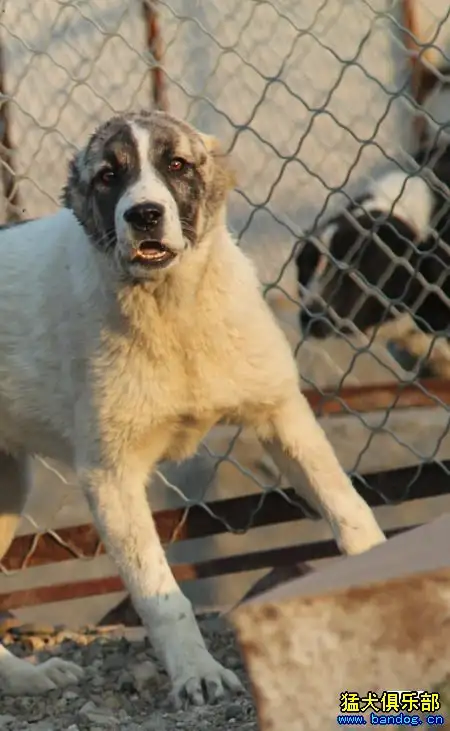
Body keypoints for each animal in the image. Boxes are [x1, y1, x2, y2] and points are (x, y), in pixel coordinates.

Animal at [0, 111, 384, 708]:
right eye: (109, 175)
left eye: (176, 164)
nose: (144, 215)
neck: (171, 310)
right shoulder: (110, 477)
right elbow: (161, 595)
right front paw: (196, 673)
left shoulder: (283, 416)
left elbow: (351, 512)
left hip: (8, 488)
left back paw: (24, 676)